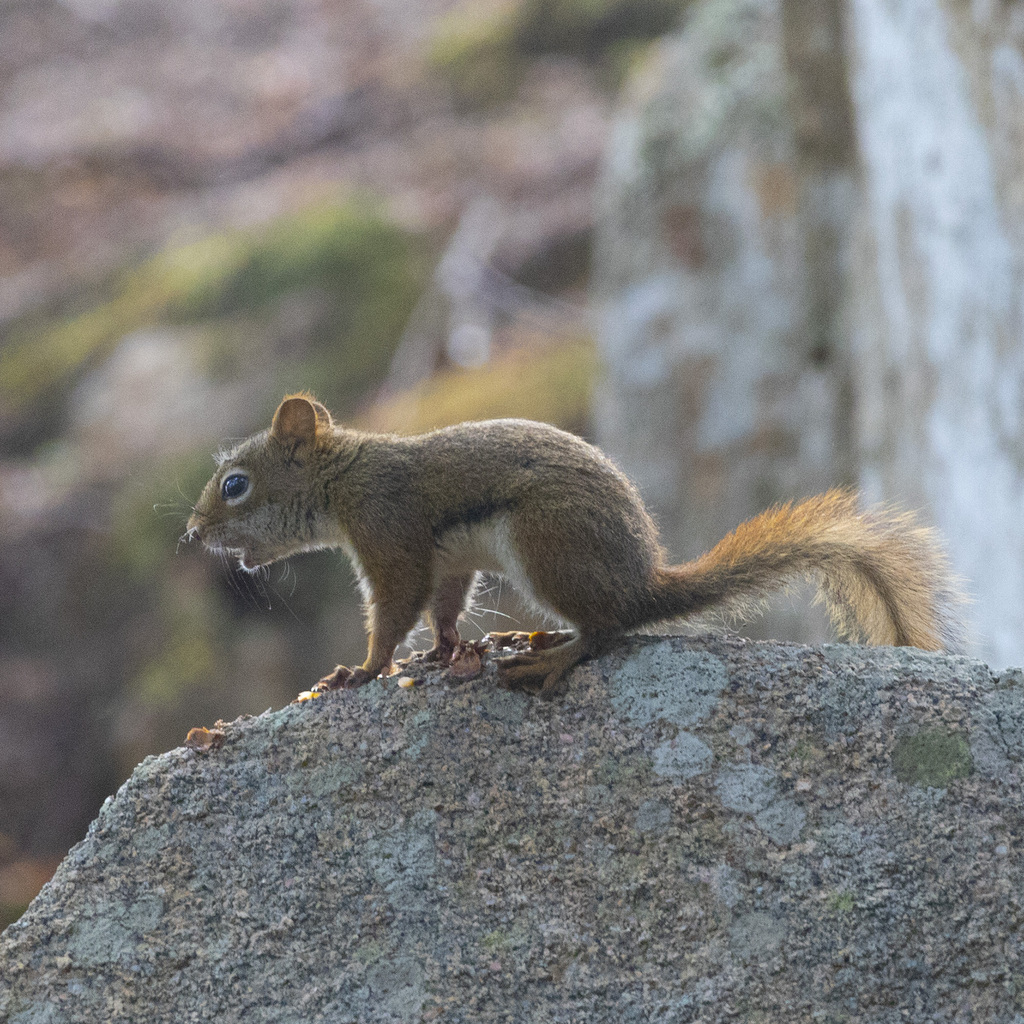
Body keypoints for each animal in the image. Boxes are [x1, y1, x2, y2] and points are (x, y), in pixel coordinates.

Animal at [187, 393, 965, 693]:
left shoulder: (391, 536)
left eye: (235, 485)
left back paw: (549, 659)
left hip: (546, 545)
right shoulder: (447, 561)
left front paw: (365, 668)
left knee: (607, 630)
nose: (191, 533)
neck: (344, 476)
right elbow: (444, 606)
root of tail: (643, 583)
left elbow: (395, 608)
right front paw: (442, 651)